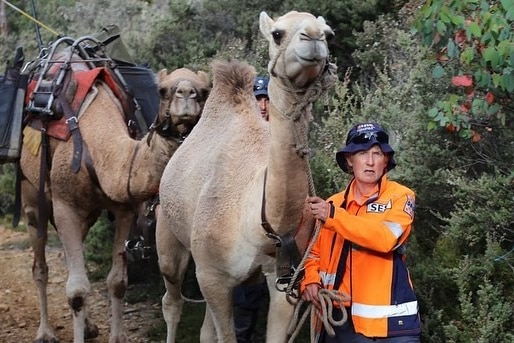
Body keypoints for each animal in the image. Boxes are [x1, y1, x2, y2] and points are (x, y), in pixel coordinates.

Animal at [18, 62, 210, 343]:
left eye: (206, 90)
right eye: (162, 90)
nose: (187, 94)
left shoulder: (124, 210)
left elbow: (117, 282)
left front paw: (117, 336)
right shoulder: (65, 204)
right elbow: (76, 291)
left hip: (87, 215)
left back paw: (88, 326)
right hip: (31, 190)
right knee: (39, 263)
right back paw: (45, 332)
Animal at [154, 10, 334, 343]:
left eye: (328, 34)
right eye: (277, 33)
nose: (314, 38)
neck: (259, 222)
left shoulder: (284, 281)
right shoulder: (213, 276)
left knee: (205, 329)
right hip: (169, 235)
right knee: (171, 300)